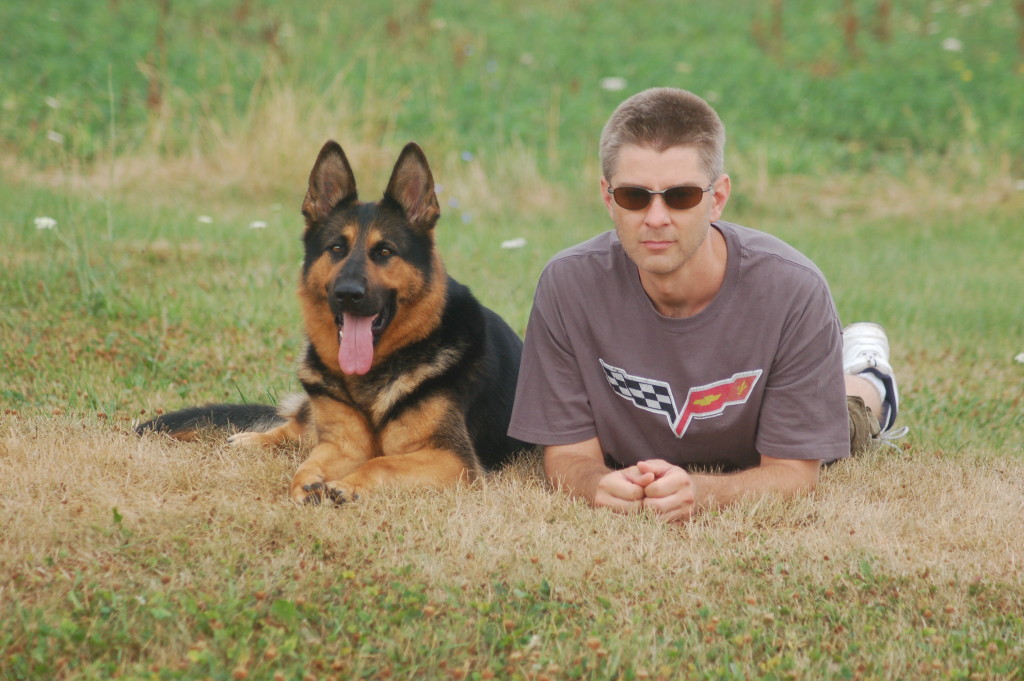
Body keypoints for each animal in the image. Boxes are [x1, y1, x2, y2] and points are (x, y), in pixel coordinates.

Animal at [138, 140, 528, 501]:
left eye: (384, 251)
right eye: (336, 248)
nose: (348, 293)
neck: (372, 376)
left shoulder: (452, 459)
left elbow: (381, 462)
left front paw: (347, 485)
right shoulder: (342, 444)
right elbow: (309, 463)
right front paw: (307, 482)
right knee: (295, 429)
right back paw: (250, 440)